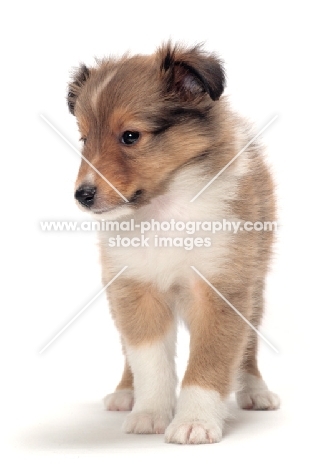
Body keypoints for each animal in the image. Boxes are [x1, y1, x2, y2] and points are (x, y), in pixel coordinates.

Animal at [67, 43, 280, 442]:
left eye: (130, 136)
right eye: (85, 138)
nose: (82, 196)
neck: (163, 210)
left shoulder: (222, 287)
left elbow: (211, 360)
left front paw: (195, 422)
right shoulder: (136, 288)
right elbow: (149, 360)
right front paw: (149, 414)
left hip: (256, 285)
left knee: (248, 346)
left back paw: (255, 391)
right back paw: (126, 393)